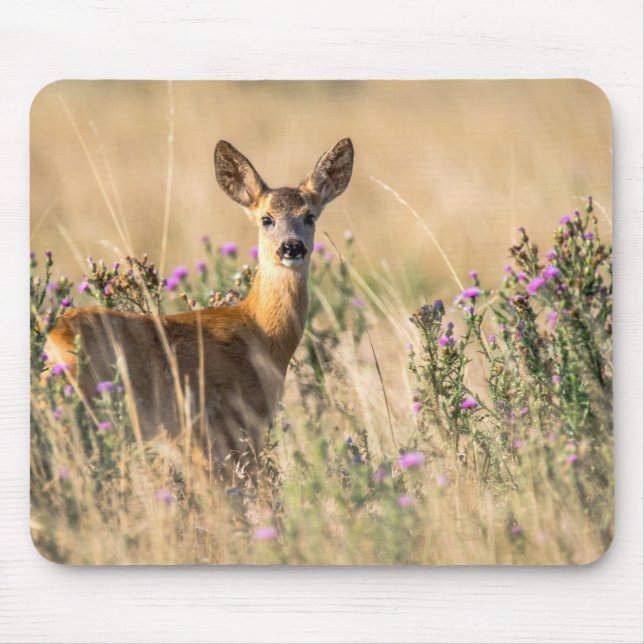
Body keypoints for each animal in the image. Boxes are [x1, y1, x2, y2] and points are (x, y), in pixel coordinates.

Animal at [46, 138, 354, 479]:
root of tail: (53, 339)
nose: (291, 247)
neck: (260, 333)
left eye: (310, 216)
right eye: (266, 218)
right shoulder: (228, 424)